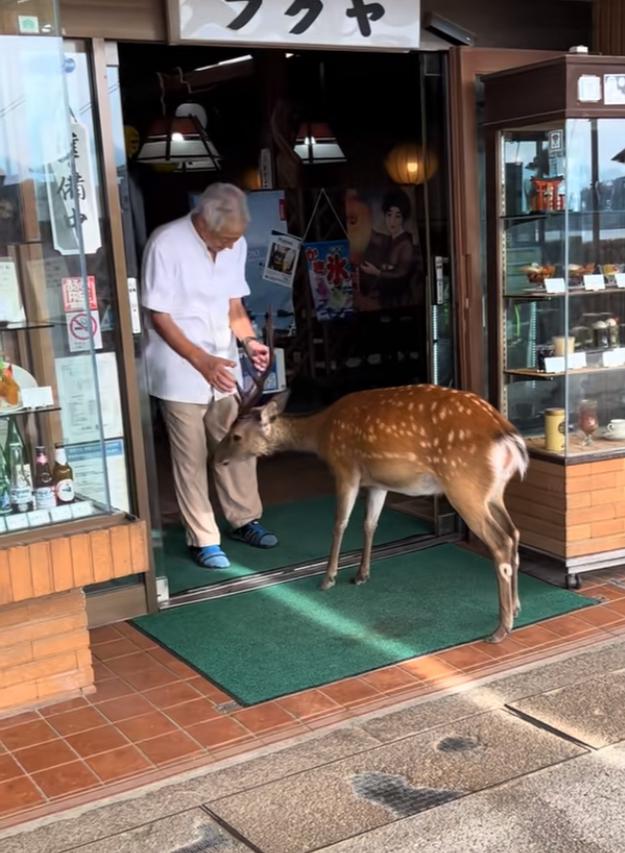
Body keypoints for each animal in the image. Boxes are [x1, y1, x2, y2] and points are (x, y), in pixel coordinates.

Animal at [216, 327, 528, 643]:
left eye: (236, 435)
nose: (216, 457)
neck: (321, 434)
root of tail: (508, 436)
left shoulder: (345, 469)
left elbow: (340, 523)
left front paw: (328, 578)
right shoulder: (378, 482)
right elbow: (369, 524)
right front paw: (361, 574)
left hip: (464, 485)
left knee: (501, 543)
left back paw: (501, 628)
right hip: (493, 491)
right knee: (514, 533)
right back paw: (515, 608)